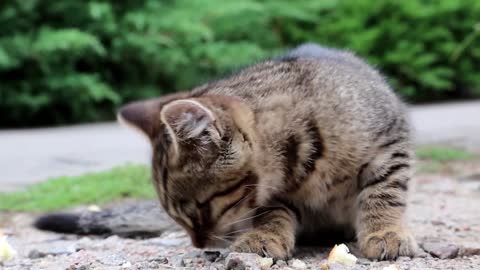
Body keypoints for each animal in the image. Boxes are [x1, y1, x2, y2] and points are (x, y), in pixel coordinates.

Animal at [119, 43, 416, 260]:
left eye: (199, 210)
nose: (198, 245)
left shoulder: (391, 141)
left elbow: (384, 191)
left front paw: (385, 232)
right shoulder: (272, 193)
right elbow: (273, 211)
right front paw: (265, 235)